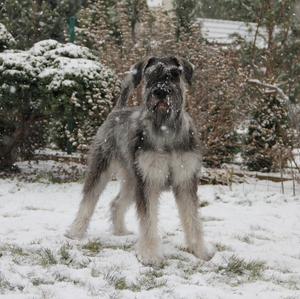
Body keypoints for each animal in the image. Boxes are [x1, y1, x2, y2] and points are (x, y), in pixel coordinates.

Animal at [67, 55, 210, 264]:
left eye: (174, 74)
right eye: (150, 75)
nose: (160, 92)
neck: (165, 130)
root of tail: (117, 110)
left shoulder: (185, 181)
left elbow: (192, 218)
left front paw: (200, 251)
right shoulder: (149, 181)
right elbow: (148, 219)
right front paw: (150, 255)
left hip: (132, 180)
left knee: (116, 203)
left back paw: (120, 232)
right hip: (102, 169)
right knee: (88, 200)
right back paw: (75, 232)